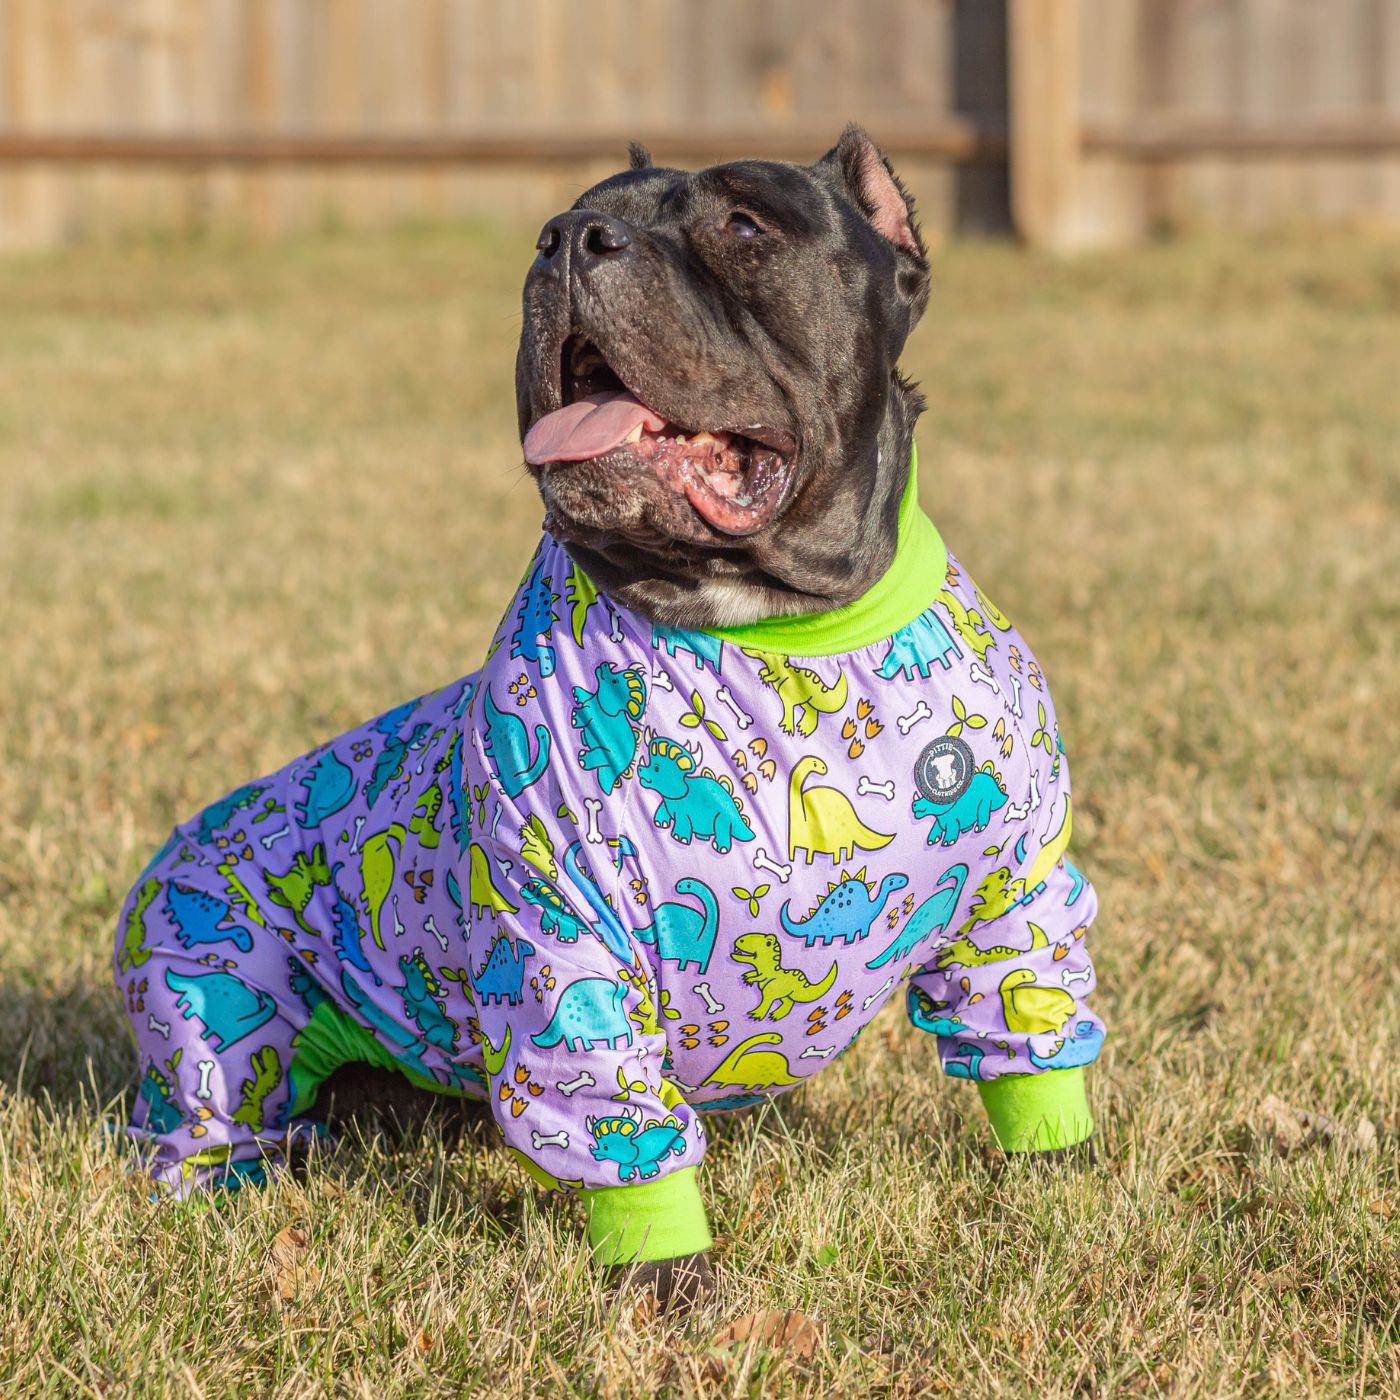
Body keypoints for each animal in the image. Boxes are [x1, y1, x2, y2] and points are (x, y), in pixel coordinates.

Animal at [114, 126, 1103, 1304]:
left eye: (743, 226)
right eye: (562, 220)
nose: (568, 240)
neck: (773, 624)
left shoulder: (1017, 891)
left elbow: (1028, 1017)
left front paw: (1064, 1182)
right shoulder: (562, 933)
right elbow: (613, 1110)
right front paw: (672, 1282)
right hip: (210, 998)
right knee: (210, 1106)